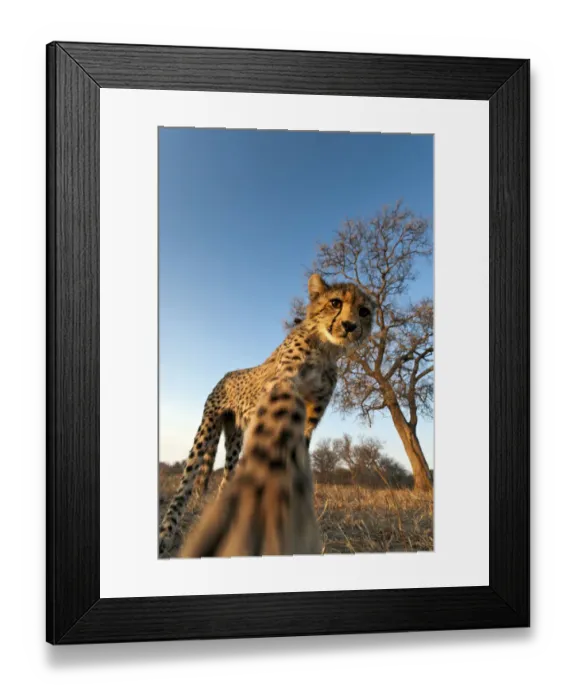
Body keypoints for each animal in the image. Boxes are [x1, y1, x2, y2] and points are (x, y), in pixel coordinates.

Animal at [159, 273, 375, 556]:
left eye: (364, 312)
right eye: (335, 302)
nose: (350, 326)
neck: (326, 349)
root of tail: (225, 374)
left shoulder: (310, 420)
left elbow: (297, 454)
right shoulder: (283, 382)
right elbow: (278, 428)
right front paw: (263, 502)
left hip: (234, 440)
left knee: (226, 477)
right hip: (207, 429)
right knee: (185, 482)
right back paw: (167, 533)